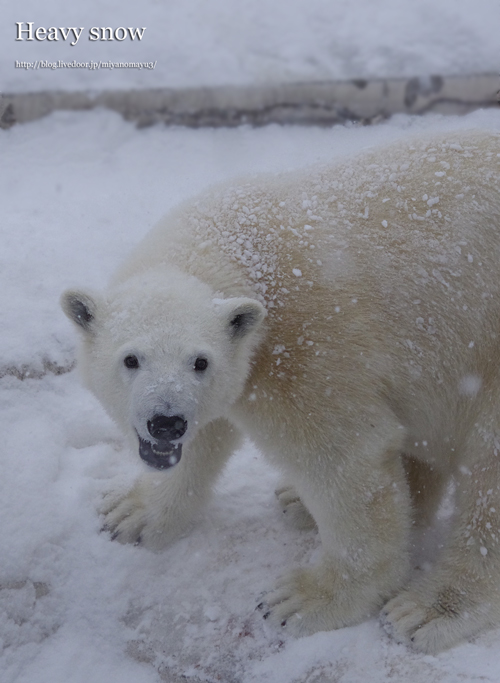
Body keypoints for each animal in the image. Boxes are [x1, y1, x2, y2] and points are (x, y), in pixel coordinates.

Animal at [63, 131, 500, 656]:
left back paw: (426, 608)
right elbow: (207, 435)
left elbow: (344, 459)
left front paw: (304, 600)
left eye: (200, 361)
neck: (239, 251)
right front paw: (129, 511)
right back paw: (302, 501)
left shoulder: (308, 354)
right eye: (131, 359)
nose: (166, 422)